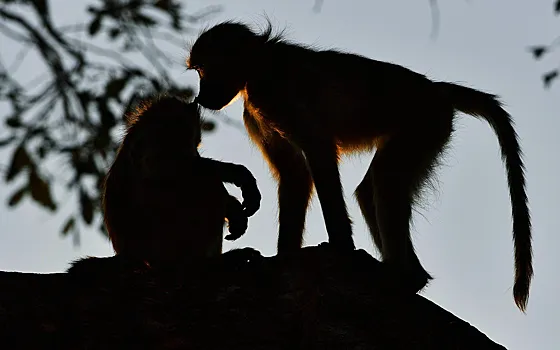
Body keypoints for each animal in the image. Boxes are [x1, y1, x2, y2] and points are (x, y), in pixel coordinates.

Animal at [103, 94, 262, 266]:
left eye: (196, 144)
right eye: (190, 142)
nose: (195, 152)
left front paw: (233, 207)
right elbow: (161, 165)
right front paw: (238, 174)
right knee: (205, 181)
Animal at [186, 20, 532, 312]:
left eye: (204, 69)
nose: (201, 97)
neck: (260, 63)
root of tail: (435, 88)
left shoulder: (272, 93)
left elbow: (319, 150)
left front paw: (341, 248)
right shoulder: (256, 111)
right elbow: (295, 174)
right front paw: (284, 258)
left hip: (424, 122)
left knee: (387, 181)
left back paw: (403, 277)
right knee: (371, 190)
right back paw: (406, 277)